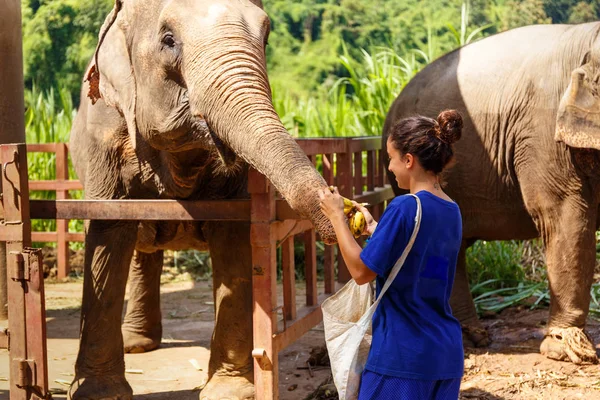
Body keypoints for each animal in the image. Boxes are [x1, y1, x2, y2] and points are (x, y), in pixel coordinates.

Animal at [69, 1, 338, 398]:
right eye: (168, 40)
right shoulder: (103, 139)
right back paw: (138, 345)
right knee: (141, 248)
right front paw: (98, 394)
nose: (349, 218)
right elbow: (108, 235)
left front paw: (230, 391)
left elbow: (234, 241)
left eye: (266, 35)